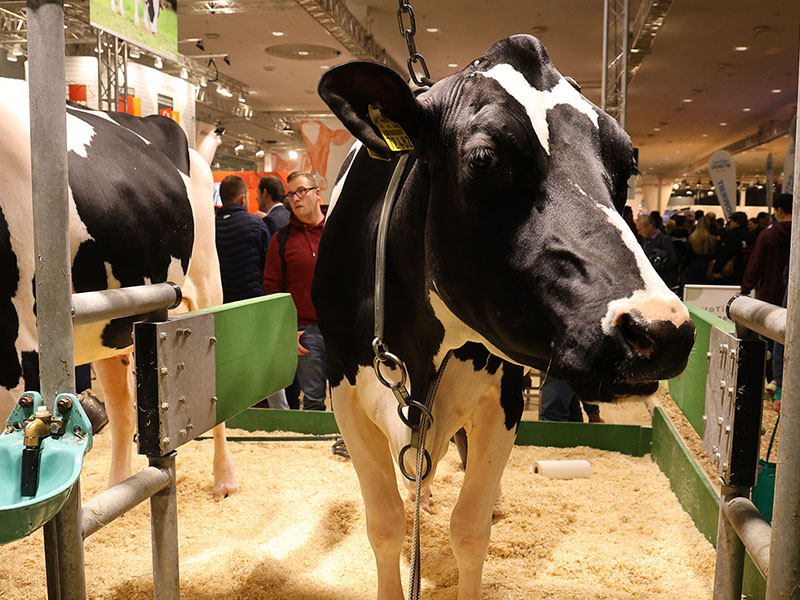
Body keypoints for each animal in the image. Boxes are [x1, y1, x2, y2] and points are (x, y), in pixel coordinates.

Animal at [0, 77, 238, 498]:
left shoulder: (20, 351)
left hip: (207, 284)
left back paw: (224, 480)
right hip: (107, 327)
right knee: (124, 412)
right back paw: (119, 487)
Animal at [312, 35, 695, 599]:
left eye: (627, 166)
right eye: (484, 158)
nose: (660, 330)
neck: (422, 353)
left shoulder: (505, 396)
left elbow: (469, 530)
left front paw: (477, 518)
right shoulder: (346, 394)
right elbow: (384, 524)